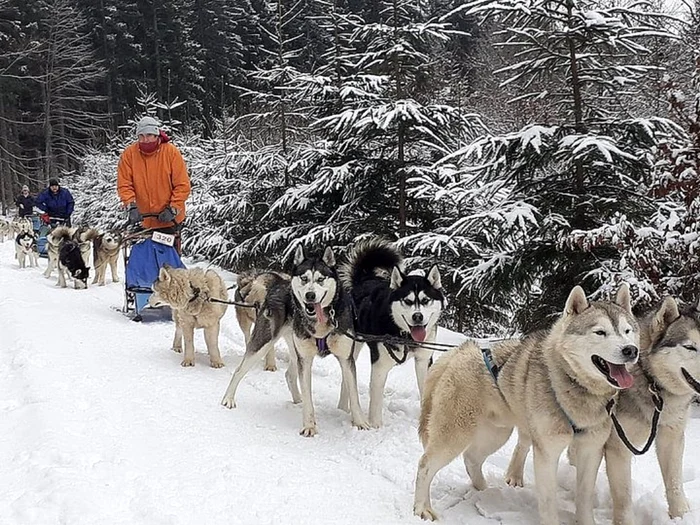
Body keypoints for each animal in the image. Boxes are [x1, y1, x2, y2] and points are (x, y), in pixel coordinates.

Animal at [223, 248, 372, 436]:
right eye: (304, 278)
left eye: (320, 279)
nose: (310, 295)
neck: (320, 322)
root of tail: (279, 282)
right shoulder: (306, 359)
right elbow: (308, 395)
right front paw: (309, 426)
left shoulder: (346, 359)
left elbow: (353, 393)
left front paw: (360, 423)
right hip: (263, 343)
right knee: (239, 371)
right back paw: (228, 398)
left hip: (294, 350)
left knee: (289, 374)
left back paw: (297, 399)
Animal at [338, 239, 442, 428]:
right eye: (407, 301)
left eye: (425, 300)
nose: (418, 316)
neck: (405, 336)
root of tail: (365, 280)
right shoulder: (380, 365)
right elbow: (375, 402)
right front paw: (375, 426)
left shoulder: (424, 361)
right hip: (353, 346)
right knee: (346, 378)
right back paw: (343, 409)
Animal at [416, 286, 640, 524]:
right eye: (600, 332)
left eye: (627, 331)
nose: (630, 350)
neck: (571, 384)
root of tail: (460, 351)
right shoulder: (547, 453)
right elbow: (548, 501)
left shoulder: (591, 451)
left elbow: (585, 498)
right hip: (456, 435)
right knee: (425, 465)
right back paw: (422, 508)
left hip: (497, 434)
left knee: (471, 459)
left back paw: (484, 490)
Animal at [600, 296, 700, 520]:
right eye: (690, 347)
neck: (650, 382)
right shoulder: (618, 447)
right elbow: (623, 498)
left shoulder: (671, 437)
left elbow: (674, 484)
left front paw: (680, 516)